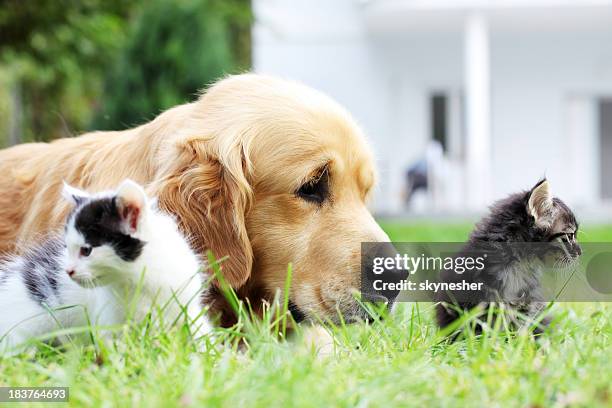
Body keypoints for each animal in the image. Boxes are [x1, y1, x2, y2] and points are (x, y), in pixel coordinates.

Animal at [0, 179, 210, 354]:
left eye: (86, 250)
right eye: (67, 247)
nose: (68, 271)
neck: (139, 276)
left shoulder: (187, 303)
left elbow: (199, 329)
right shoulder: (109, 319)